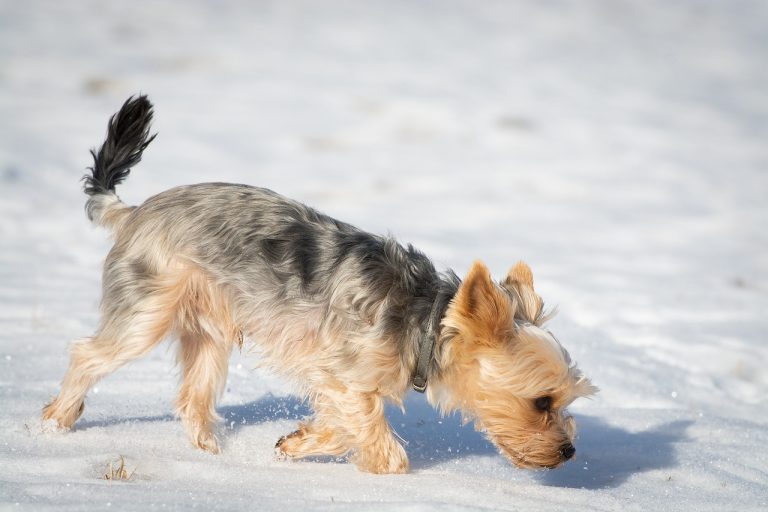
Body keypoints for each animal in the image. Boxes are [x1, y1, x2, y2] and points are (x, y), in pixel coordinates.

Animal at [39, 95, 596, 472]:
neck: (426, 322)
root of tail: (134, 213)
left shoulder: (340, 381)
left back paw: (213, 459)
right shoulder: (343, 373)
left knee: (193, 397)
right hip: (147, 309)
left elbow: (342, 425)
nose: (570, 450)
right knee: (89, 354)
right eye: (542, 402)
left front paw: (296, 442)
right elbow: (380, 445)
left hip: (209, 328)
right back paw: (53, 425)